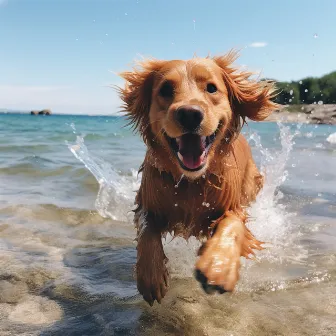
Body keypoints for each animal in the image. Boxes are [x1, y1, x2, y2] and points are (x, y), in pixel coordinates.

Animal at [117, 50, 276, 304]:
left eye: (211, 88)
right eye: (165, 89)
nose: (189, 114)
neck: (191, 181)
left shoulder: (233, 205)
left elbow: (232, 223)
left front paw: (218, 266)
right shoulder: (147, 200)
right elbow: (146, 228)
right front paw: (150, 275)